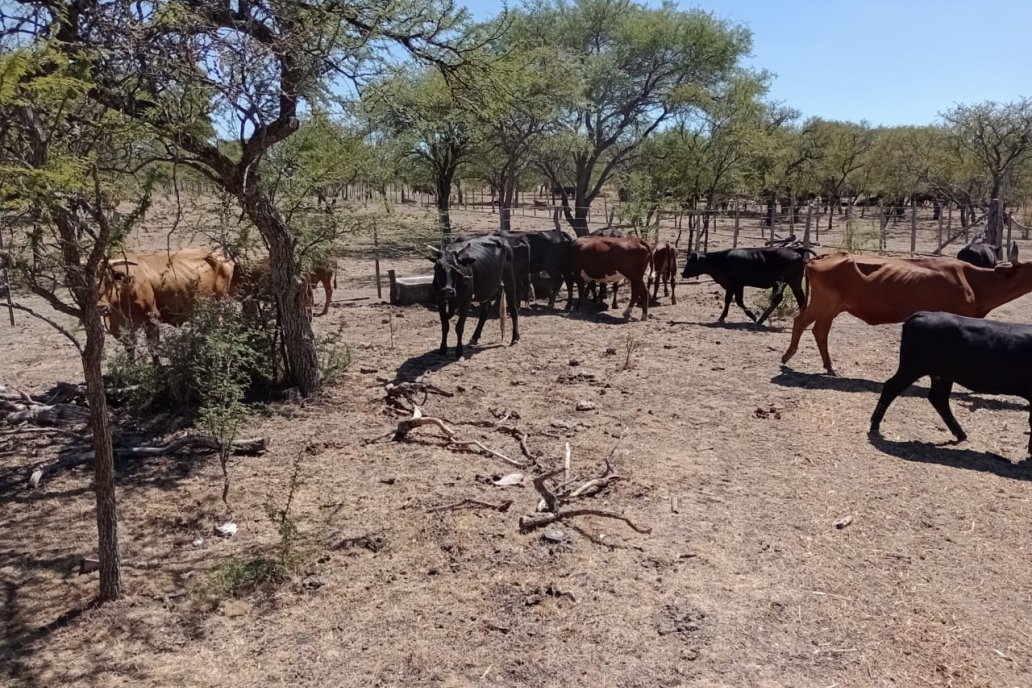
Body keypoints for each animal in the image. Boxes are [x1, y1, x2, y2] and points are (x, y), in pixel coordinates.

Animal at [685, 246, 813, 328]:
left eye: (690, 262)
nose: (683, 273)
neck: (721, 260)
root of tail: (796, 250)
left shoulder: (737, 285)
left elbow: (739, 301)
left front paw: (752, 316)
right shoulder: (731, 286)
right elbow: (728, 300)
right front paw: (722, 317)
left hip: (789, 282)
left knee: (794, 298)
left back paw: (760, 320)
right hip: (785, 283)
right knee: (787, 299)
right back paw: (762, 320)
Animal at [780, 250, 1032, 373]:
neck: (974, 281)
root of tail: (821, 257)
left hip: (828, 306)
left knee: (810, 326)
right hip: (827, 304)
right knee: (810, 326)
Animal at [871, 311, 1032, 457]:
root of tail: (922, 314)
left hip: (941, 375)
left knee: (938, 398)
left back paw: (960, 433)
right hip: (913, 368)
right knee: (891, 387)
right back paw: (875, 424)